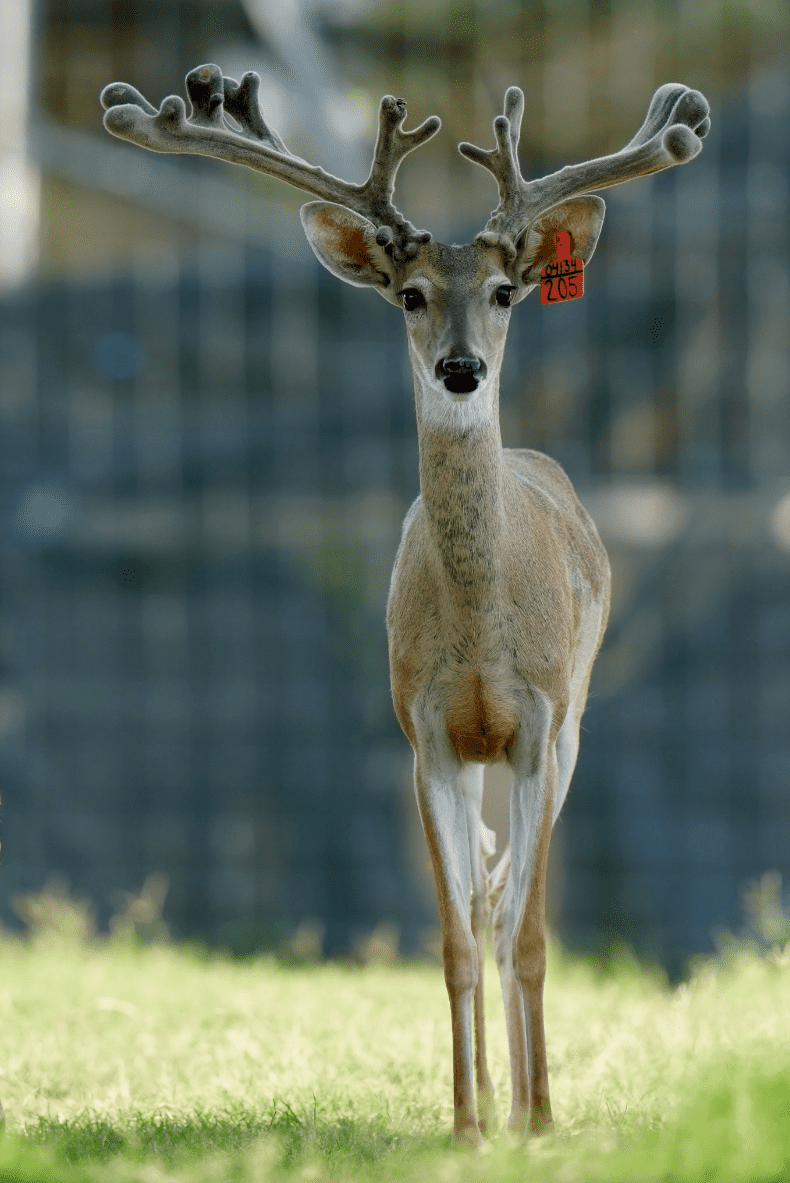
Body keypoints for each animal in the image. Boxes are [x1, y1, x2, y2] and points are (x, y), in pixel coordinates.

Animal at [101, 66, 710, 1143]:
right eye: (413, 294)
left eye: (505, 292)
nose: (461, 368)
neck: (480, 631)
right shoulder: (424, 728)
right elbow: (456, 936)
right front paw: (467, 1125)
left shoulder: (541, 719)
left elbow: (531, 933)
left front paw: (538, 1123)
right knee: (485, 893)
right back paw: (498, 1101)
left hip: (574, 728)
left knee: (510, 897)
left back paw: (531, 1104)